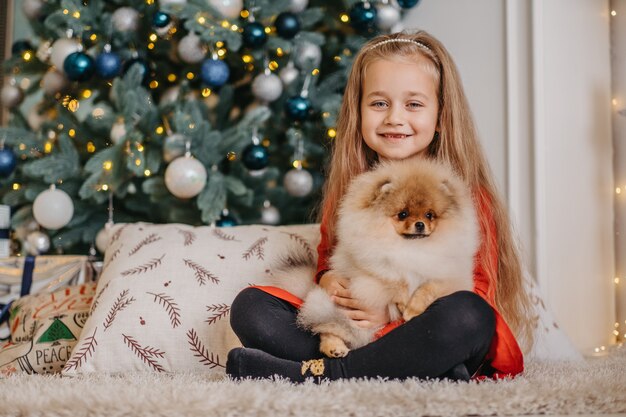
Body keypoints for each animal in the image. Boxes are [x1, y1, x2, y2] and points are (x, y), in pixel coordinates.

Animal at [276, 156, 476, 358]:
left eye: (430, 215)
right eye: (403, 214)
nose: (420, 224)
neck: (412, 247)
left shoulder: (449, 273)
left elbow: (428, 288)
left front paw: (412, 309)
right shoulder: (377, 265)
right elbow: (396, 281)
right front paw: (404, 303)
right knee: (327, 328)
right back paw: (334, 348)